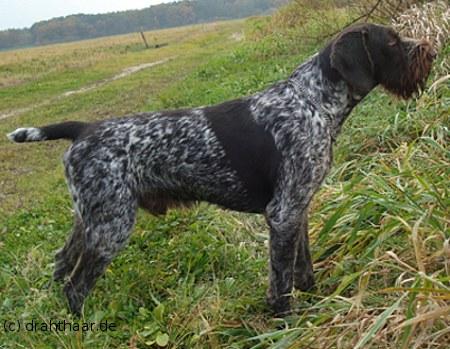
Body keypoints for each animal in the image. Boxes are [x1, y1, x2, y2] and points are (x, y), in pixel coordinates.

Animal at [7, 23, 436, 314]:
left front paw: (314, 302)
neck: (312, 101)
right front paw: (285, 320)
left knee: (61, 264)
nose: (431, 51)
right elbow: (281, 281)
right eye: (392, 42)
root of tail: (83, 129)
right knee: (75, 287)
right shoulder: (282, 214)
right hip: (111, 227)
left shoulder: (297, 209)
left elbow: (303, 268)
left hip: (91, 219)